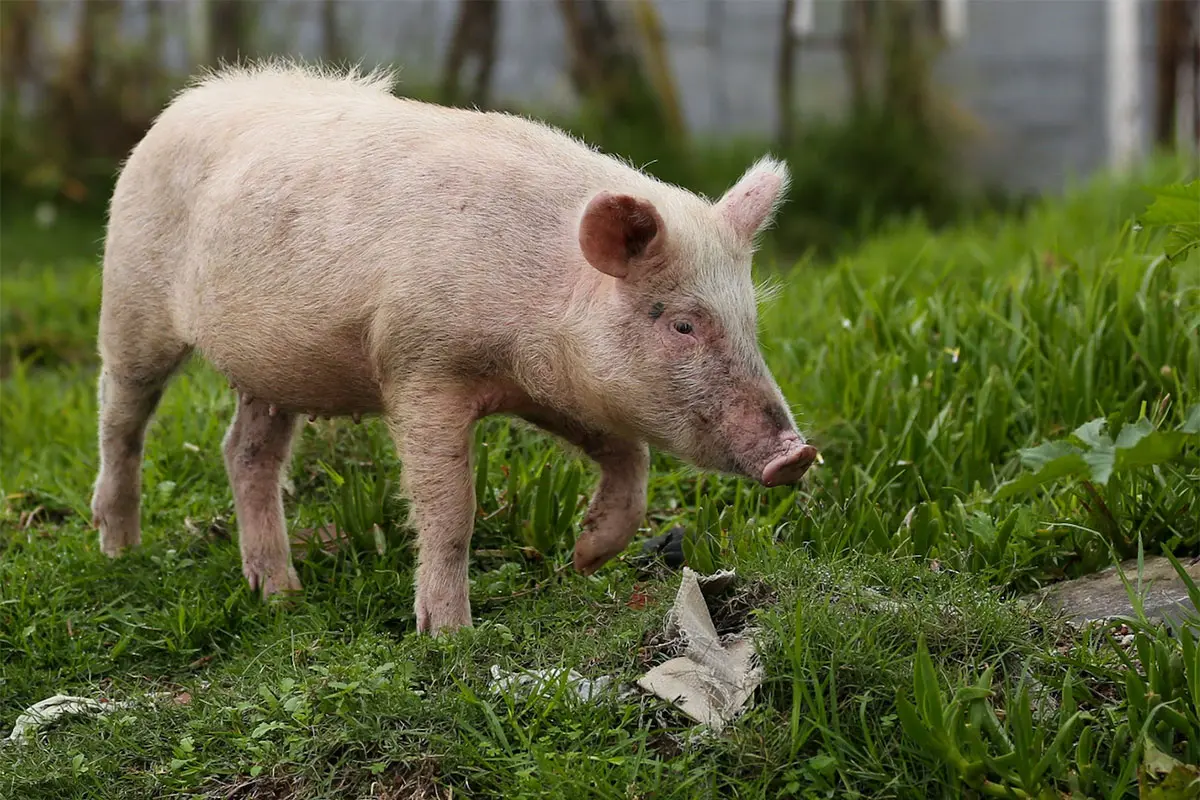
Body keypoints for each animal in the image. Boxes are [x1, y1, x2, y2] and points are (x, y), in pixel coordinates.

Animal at [90, 61, 818, 634]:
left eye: (751, 321)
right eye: (683, 325)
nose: (796, 454)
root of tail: (185, 101)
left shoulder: (555, 389)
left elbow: (629, 457)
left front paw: (585, 557)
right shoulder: (419, 366)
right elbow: (450, 509)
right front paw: (449, 635)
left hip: (273, 369)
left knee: (245, 452)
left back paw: (280, 596)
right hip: (129, 297)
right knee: (122, 416)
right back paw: (119, 549)